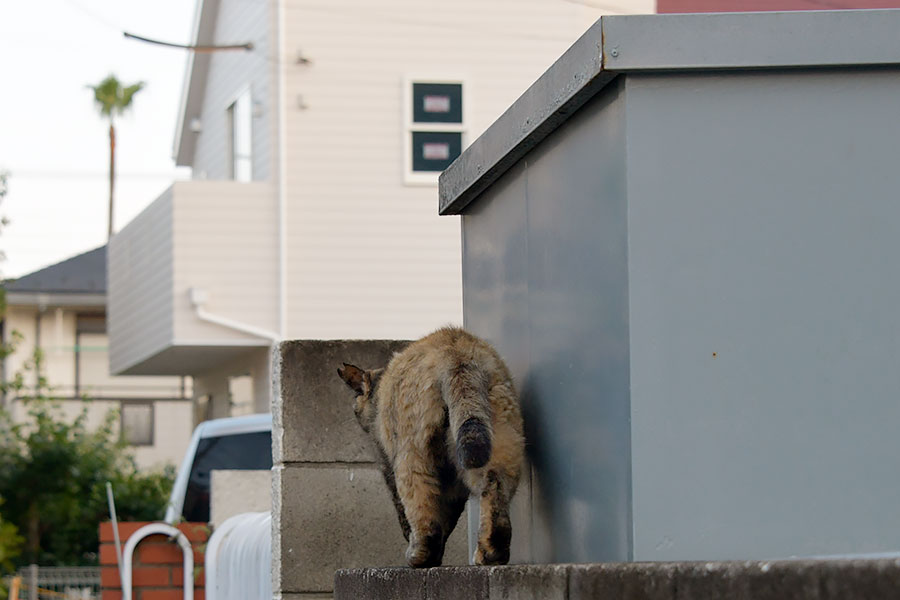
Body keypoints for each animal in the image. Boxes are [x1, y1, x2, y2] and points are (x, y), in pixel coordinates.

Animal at [338, 328, 524, 568]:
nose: (353, 410)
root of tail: (457, 350)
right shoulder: (453, 486)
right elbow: (447, 518)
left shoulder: (387, 464)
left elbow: (407, 514)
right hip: (498, 440)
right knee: (494, 488)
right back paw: (491, 555)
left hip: (411, 454)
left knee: (420, 504)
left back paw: (418, 556)